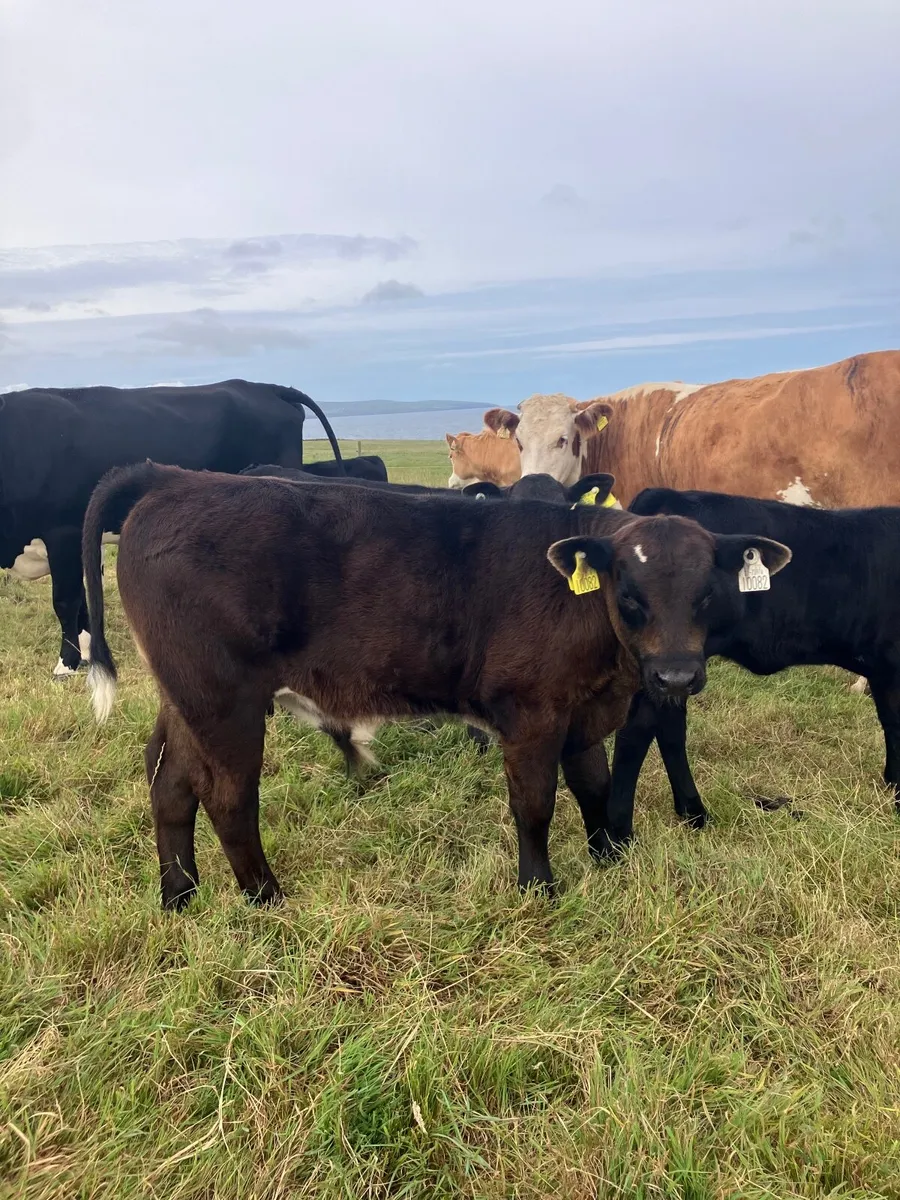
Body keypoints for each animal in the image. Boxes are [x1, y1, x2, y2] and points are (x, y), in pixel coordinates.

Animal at [0, 379, 344, 678]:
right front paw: (84, 654)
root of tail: (264, 387)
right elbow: (83, 601)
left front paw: (66, 664)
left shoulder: (63, 532)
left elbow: (66, 601)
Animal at [81, 462, 791, 909]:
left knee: (169, 781)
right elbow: (535, 803)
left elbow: (592, 784)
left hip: (186, 697)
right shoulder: (530, 712)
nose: (676, 674)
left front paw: (609, 860)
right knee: (227, 796)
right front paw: (540, 887)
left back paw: (180, 896)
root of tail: (171, 476)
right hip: (223, 699)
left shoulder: (580, 709)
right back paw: (266, 901)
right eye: (630, 591)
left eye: (707, 591)